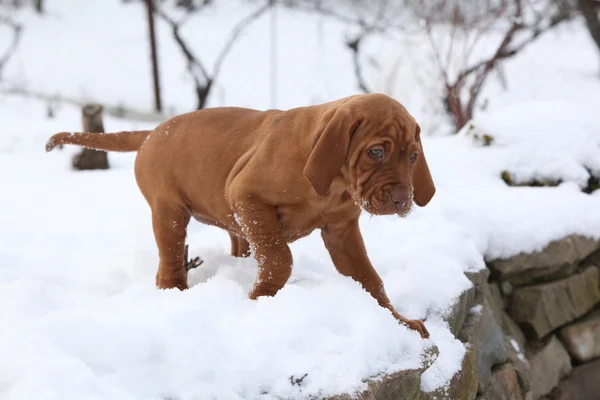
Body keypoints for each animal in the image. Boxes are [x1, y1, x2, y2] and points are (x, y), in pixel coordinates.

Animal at [44, 93, 434, 338]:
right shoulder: (246, 196)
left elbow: (370, 280)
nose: (403, 200)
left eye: (413, 157)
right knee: (169, 258)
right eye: (376, 152)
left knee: (236, 241)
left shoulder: (341, 232)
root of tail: (153, 130)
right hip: (170, 212)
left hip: (226, 218)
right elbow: (279, 257)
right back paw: (175, 293)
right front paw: (259, 299)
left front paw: (399, 321)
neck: (334, 184)